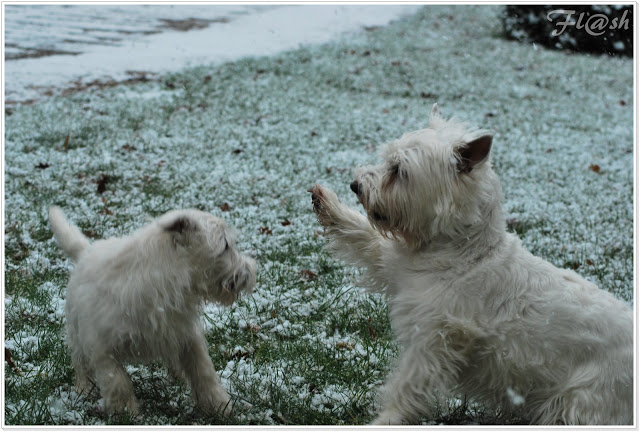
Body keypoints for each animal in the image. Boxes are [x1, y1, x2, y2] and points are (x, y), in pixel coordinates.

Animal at [49, 208, 255, 416]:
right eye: (226, 245)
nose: (251, 270)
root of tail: (86, 251)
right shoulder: (103, 345)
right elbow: (117, 381)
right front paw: (125, 412)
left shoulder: (185, 333)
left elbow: (203, 370)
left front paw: (218, 404)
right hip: (77, 331)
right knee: (80, 361)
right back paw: (85, 387)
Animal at [312, 105, 636, 426]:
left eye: (398, 170)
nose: (355, 185)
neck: (461, 252)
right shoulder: (396, 267)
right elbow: (365, 237)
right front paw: (326, 202)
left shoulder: (435, 339)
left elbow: (408, 385)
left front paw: (386, 420)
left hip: (583, 400)